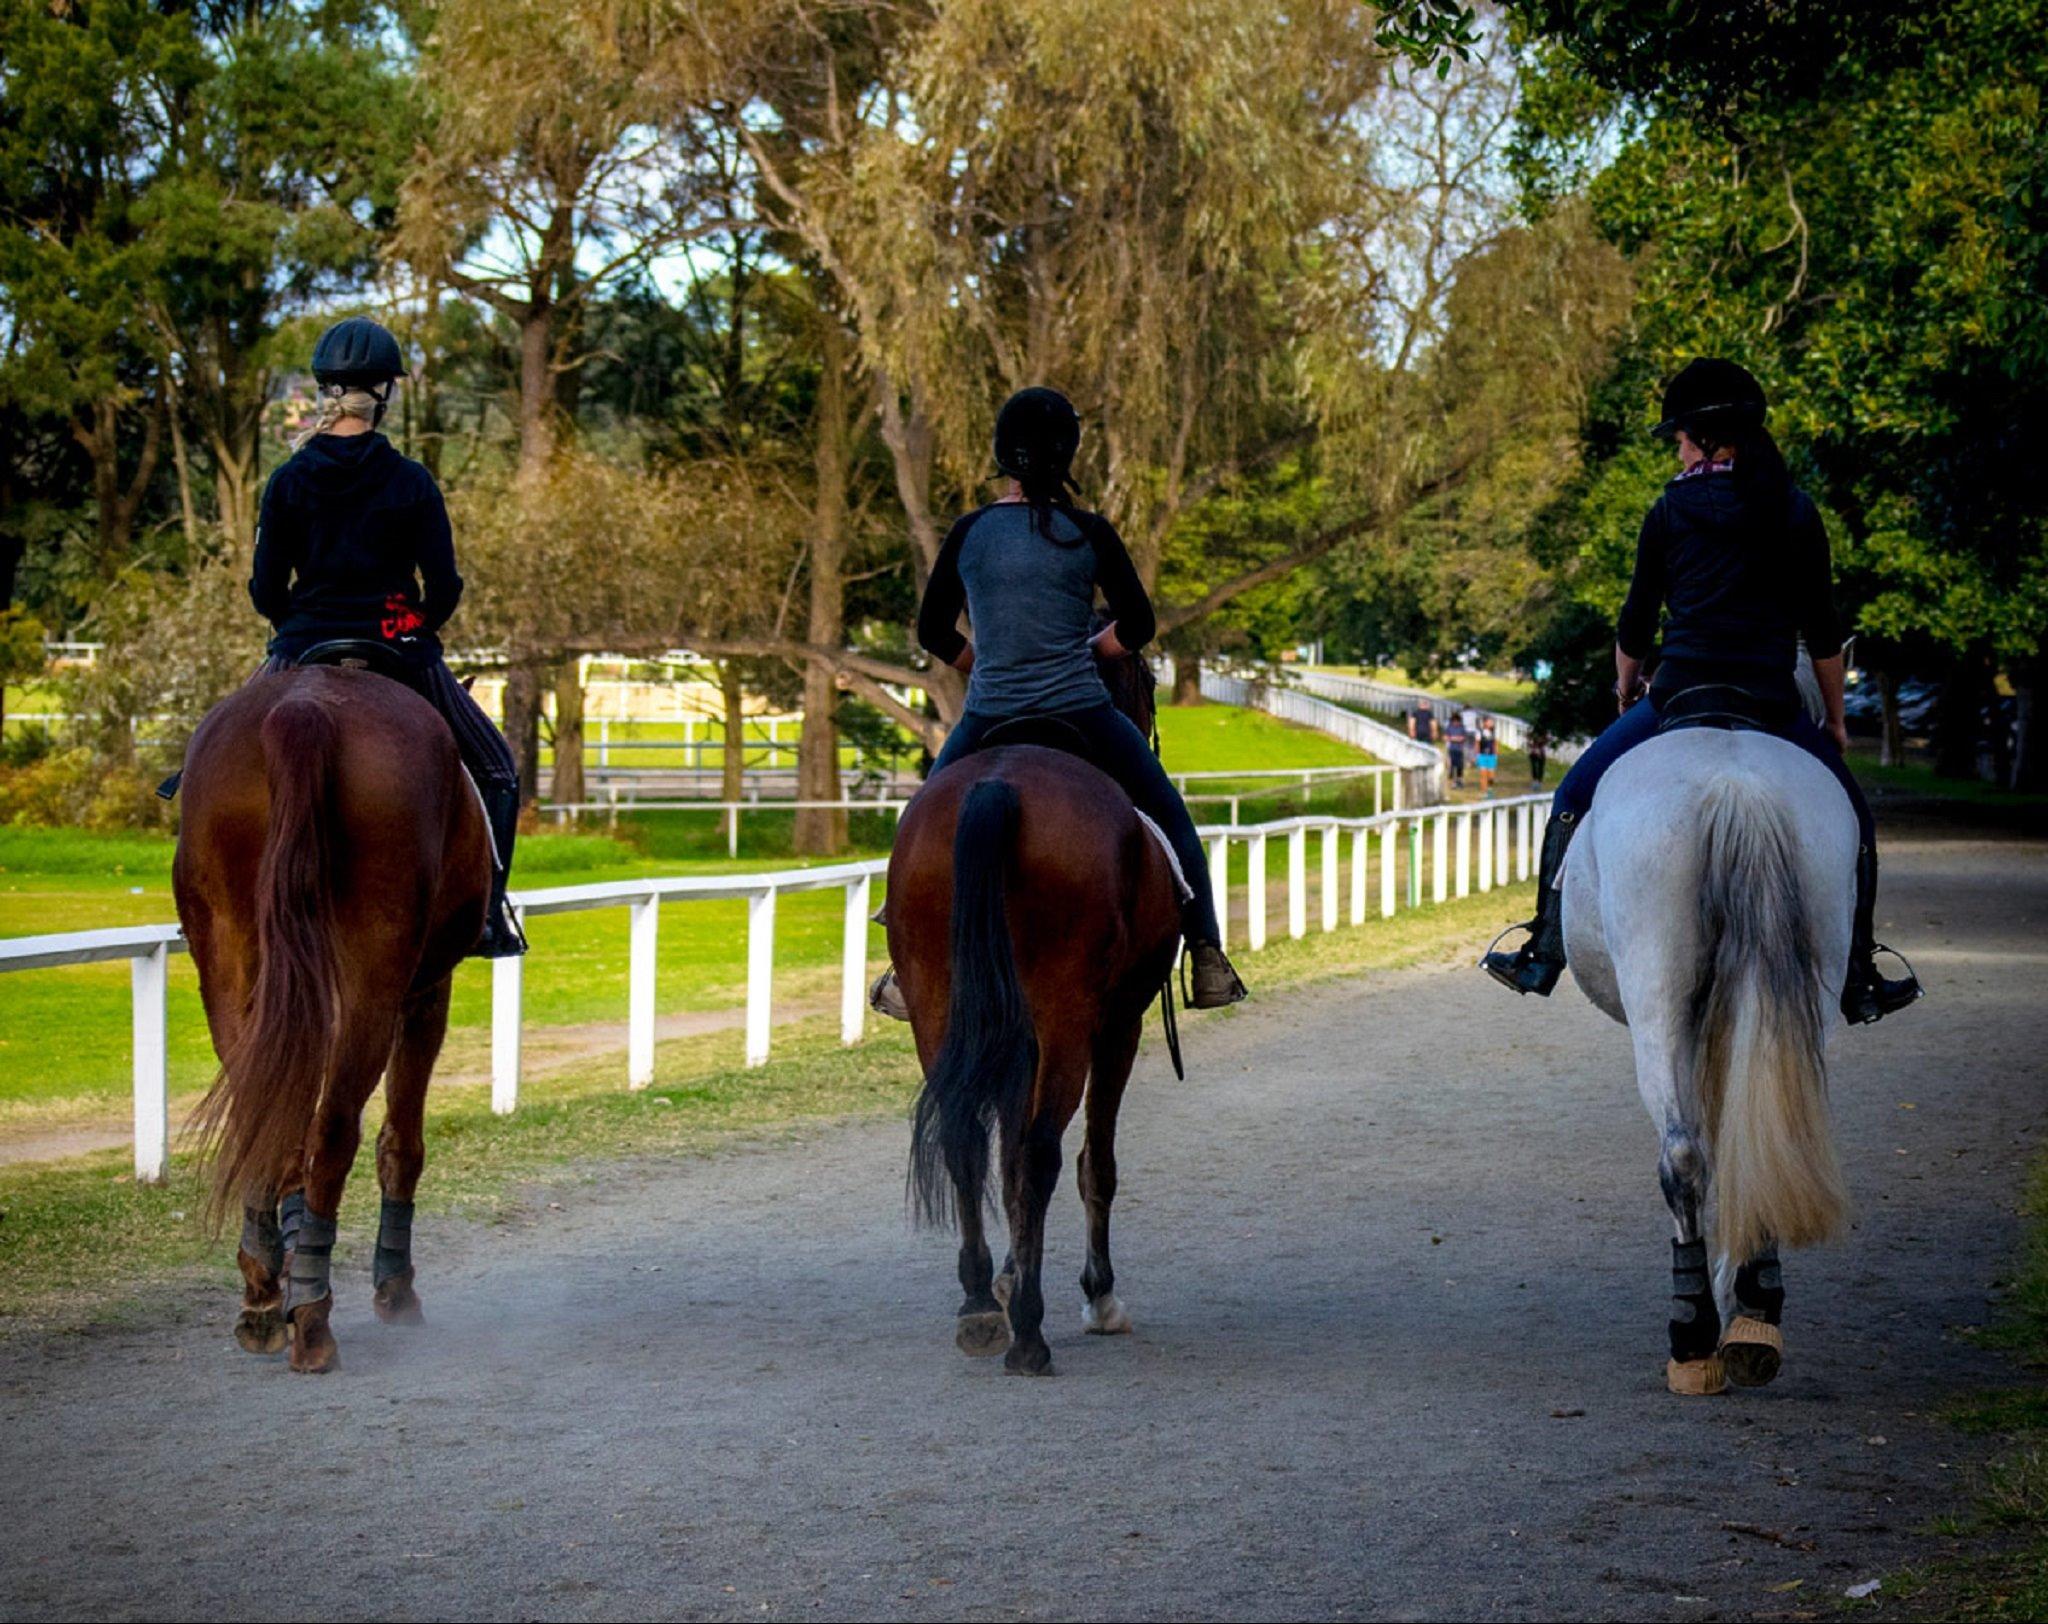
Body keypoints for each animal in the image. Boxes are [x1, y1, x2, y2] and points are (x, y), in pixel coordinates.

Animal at [177, 659, 491, 1368]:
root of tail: (304, 708)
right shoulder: (426, 992)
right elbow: (402, 1141)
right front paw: (394, 1289)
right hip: (373, 980)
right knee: (336, 1128)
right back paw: (314, 1316)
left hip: (232, 963)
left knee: (261, 1112)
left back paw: (265, 1296)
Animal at [897, 643, 1187, 1368]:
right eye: (1147, 681)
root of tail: (998, 786)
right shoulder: (1117, 1026)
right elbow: (1093, 1163)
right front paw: (1096, 1293)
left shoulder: (1007, 1031)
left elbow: (1001, 1159)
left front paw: (1004, 1276)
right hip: (1067, 1020)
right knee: (1041, 1151)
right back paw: (1029, 1331)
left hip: (936, 1005)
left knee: (966, 1139)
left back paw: (979, 1305)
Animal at [1556, 720, 1867, 1392]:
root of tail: (1737, 787)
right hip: (1811, 981)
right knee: (1773, 1131)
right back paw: (1753, 1320)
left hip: (1658, 998)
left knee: (1682, 1156)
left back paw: (1695, 1336)